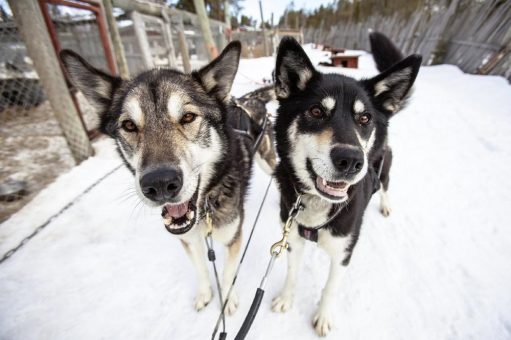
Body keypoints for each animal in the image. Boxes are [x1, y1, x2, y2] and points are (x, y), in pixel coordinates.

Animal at [59, 42, 276, 316]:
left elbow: (227, 275)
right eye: (129, 125)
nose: (160, 183)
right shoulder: (188, 240)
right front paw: (205, 294)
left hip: (267, 161)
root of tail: (250, 99)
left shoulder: (232, 238)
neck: (204, 208)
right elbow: (201, 269)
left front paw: (227, 300)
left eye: (188, 117)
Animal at [270, 35, 422, 336]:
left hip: (384, 169)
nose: (351, 160)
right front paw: (286, 298)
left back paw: (386, 205)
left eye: (364, 119)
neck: (318, 207)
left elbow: (330, 288)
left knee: (386, 186)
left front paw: (323, 316)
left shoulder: (343, 253)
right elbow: (292, 273)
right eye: (316, 111)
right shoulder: (292, 239)